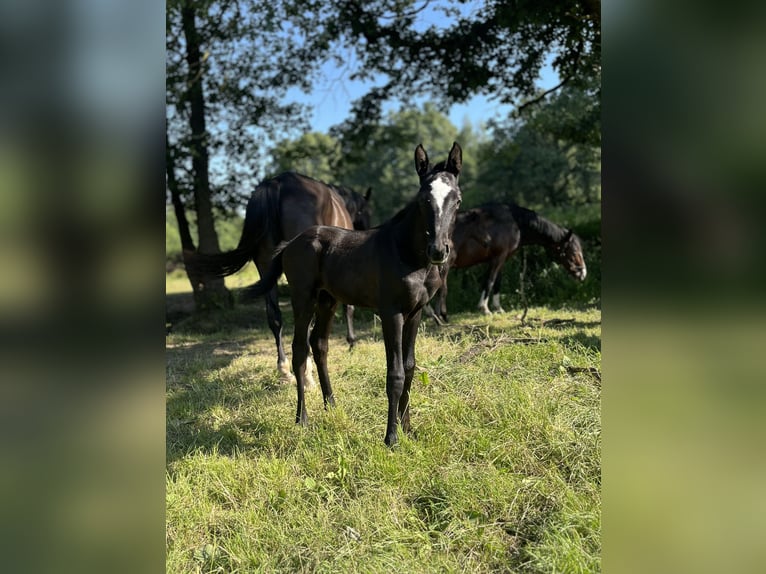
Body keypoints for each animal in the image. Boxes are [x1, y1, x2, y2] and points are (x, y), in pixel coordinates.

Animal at [194, 171, 370, 382]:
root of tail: (278, 183)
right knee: (304, 322)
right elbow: (348, 307)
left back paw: (285, 370)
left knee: (275, 317)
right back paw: (307, 373)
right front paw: (351, 343)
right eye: (366, 212)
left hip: (266, 267)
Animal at [249, 142, 464, 448]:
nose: (438, 250)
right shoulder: (391, 313)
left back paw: (331, 405)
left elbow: (410, 367)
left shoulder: (415, 312)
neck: (407, 254)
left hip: (327, 300)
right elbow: (395, 373)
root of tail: (291, 243)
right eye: (423, 199)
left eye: (457, 200)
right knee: (300, 349)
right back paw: (302, 419)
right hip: (304, 299)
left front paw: (408, 428)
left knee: (319, 344)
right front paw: (391, 438)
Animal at [432, 202, 588, 324]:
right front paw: (484, 308)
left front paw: (498, 308)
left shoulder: (502, 259)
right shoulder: (498, 258)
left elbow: (497, 282)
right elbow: (490, 281)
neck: (514, 222)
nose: (583, 273)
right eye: (574, 251)